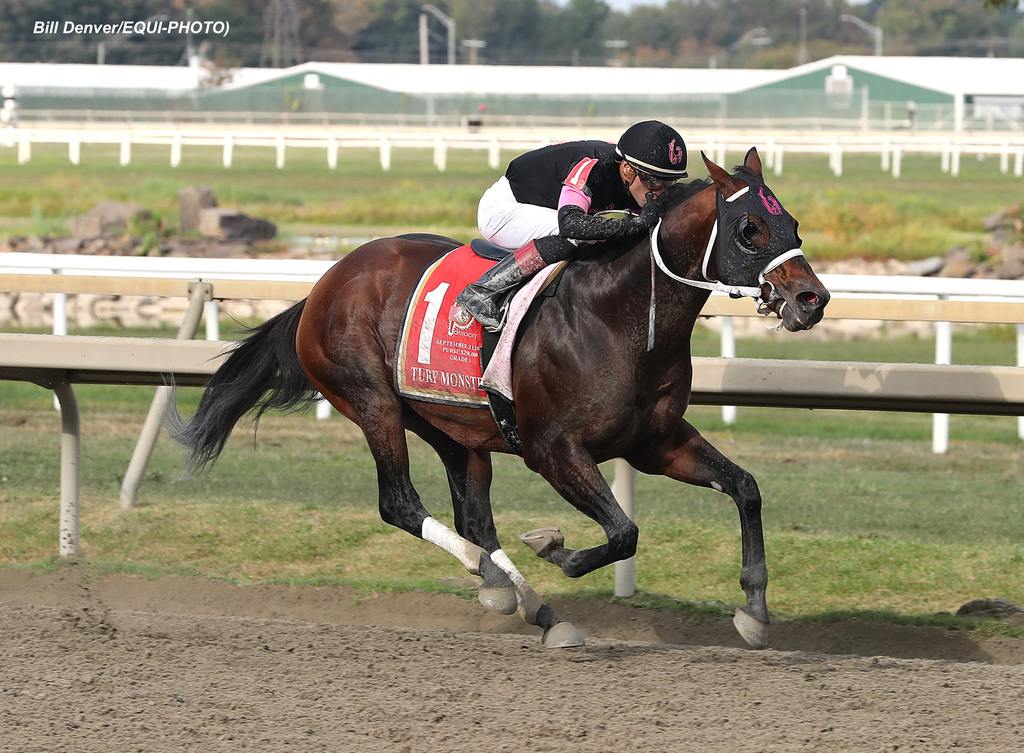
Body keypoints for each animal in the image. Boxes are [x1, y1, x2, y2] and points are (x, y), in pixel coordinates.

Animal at [174, 147, 831, 647]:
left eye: (794, 225)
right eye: (749, 229)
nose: (811, 300)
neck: (617, 317)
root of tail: (324, 284)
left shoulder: (657, 442)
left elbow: (745, 488)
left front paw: (754, 610)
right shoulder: (553, 449)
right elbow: (623, 532)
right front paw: (556, 548)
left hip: (451, 427)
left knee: (475, 518)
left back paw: (531, 605)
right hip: (373, 403)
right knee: (401, 504)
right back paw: (492, 578)